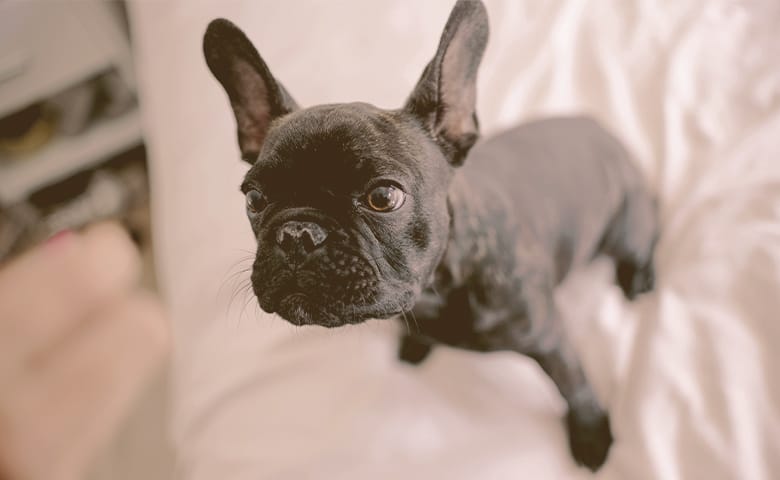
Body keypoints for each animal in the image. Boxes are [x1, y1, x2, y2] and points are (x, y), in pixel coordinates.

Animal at [203, 0, 660, 470]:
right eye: (254, 198)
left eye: (383, 196)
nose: (297, 232)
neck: (438, 287)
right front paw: (414, 343)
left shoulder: (550, 338)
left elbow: (574, 385)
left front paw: (591, 433)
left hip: (626, 225)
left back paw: (637, 277)